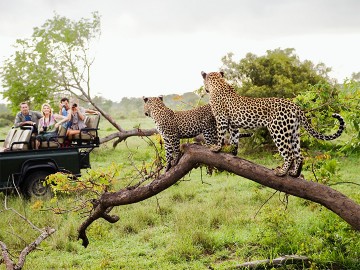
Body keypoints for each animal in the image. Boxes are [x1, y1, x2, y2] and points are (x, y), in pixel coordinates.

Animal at [201, 71, 344, 177]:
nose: (205, 89)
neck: (218, 84)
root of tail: (295, 106)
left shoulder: (221, 118)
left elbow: (220, 134)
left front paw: (216, 148)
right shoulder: (234, 124)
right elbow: (234, 139)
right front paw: (233, 152)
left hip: (278, 131)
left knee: (289, 154)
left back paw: (282, 172)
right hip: (294, 132)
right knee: (299, 155)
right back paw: (294, 173)